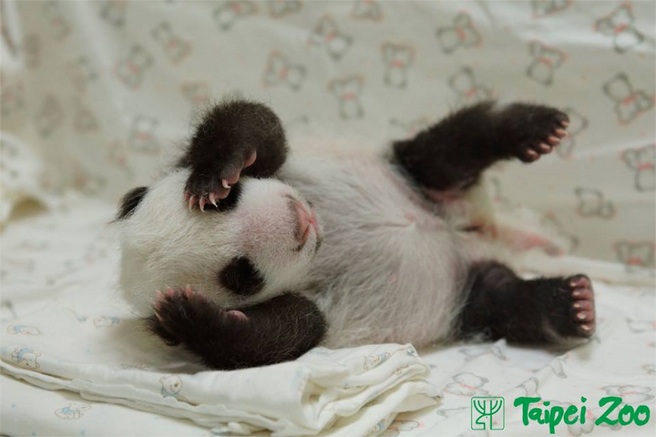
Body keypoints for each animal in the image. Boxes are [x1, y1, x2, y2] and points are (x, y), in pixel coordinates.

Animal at [115, 98, 596, 368]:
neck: (322, 240)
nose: (297, 221)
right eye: (241, 274)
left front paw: (214, 174)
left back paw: (535, 129)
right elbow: (273, 339)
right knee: (503, 301)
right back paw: (570, 304)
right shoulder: (306, 306)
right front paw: (187, 316)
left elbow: (257, 127)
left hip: (406, 171)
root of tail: (475, 232)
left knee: (452, 145)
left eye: (232, 201)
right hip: (463, 299)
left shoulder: (281, 168)